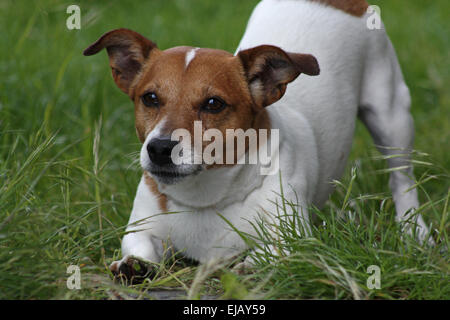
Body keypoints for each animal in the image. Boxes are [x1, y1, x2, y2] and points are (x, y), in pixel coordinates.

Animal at [83, 0, 432, 276]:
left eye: (213, 103)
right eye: (150, 98)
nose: (159, 148)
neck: (207, 198)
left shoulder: (291, 236)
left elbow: (271, 250)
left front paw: (251, 262)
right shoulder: (141, 228)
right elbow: (138, 246)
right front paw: (135, 265)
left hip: (391, 116)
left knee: (402, 179)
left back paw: (415, 231)